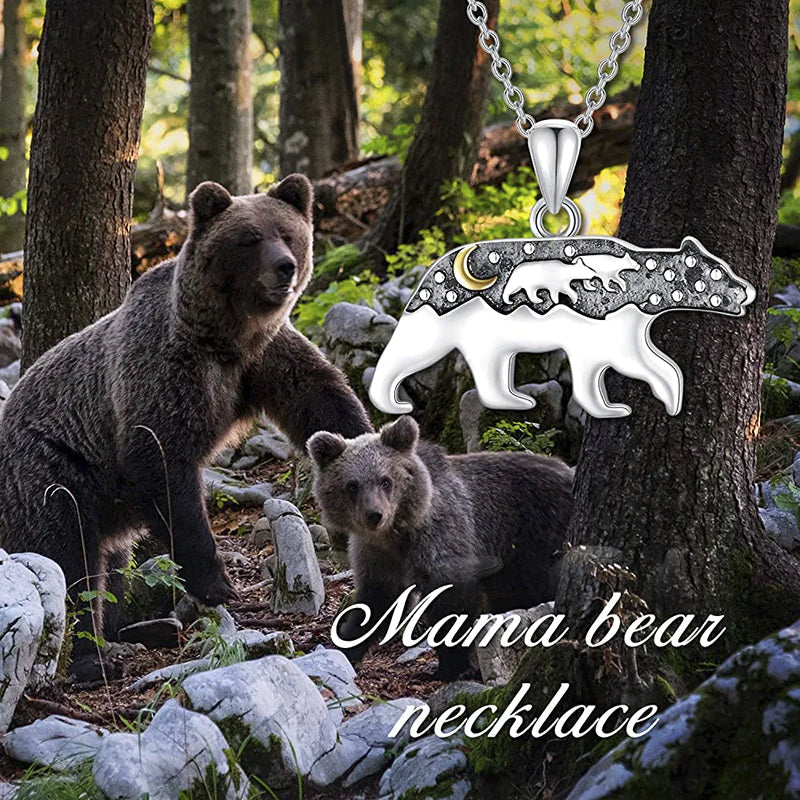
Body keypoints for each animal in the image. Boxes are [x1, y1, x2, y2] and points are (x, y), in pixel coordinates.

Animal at [0, 175, 372, 670]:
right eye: (249, 238)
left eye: (289, 233)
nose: (285, 267)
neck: (225, 339)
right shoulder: (165, 371)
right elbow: (162, 463)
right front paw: (216, 582)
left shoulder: (266, 358)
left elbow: (323, 401)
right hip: (54, 472)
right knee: (69, 560)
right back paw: (93, 657)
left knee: (110, 562)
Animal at [307, 415, 573, 678]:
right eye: (352, 485)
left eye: (385, 480)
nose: (374, 514)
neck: (397, 533)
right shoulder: (376, 555)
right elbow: (377, 601)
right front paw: (347, 647)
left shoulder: (443, 536)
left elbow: (451, 600)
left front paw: (447, 667)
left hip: (540, 533)